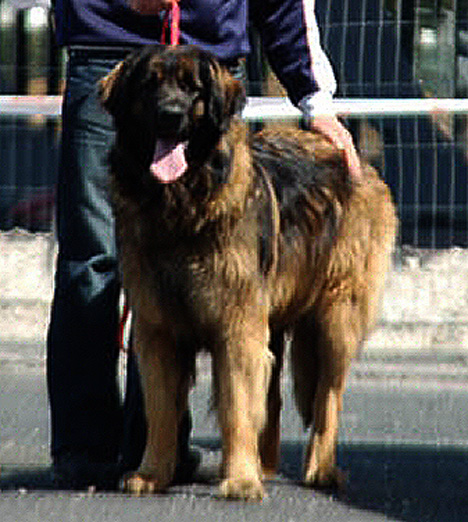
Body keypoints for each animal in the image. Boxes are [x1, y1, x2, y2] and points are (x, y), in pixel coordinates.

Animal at [100, 45, 396, 500]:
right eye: (149, 85)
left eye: (192, 88)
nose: (169, 115)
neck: (181, 207)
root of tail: (351, 157)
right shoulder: (158, 330)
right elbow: (162, 410)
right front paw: (152, 474)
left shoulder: (236, 325)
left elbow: (238, 404)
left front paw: (239, 481)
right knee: (272, 397)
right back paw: (265, 465)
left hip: (335, 318)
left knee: (327, 397)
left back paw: (320, 470)